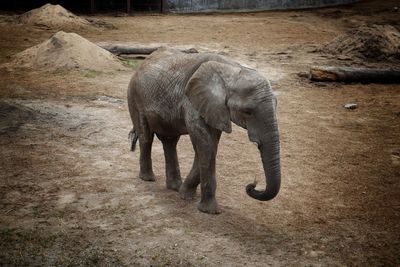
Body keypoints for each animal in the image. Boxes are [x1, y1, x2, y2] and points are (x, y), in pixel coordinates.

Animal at [126, 48, 280, 215]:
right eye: (247, 111)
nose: (253, 185)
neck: (232, 69)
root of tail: (143, 62)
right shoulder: (192, 101)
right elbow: (206, 146)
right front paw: (210, 211)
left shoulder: (214, 108)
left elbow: (210, 146)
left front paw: (185, 194)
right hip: (134, 96)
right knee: (146, 136)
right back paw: (148, 179)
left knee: (169, 141)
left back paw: (174, 187)